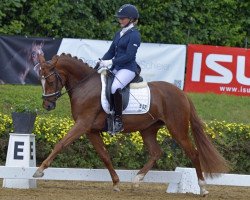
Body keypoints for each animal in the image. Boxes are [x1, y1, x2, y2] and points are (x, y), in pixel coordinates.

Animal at [32, 49, 229, 195]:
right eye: (40, 80)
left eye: (50, 80)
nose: (47, 105)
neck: (84, 86)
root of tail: (181, 93)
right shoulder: (91, 130)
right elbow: (104, 155)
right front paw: (116, 183)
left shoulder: (82, 124)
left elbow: (60, 144)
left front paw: (39, 170)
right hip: (148, 129)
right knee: (156, 152)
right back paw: (136, 181)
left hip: (177, 129)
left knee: (193, 153)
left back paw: (203, 188)